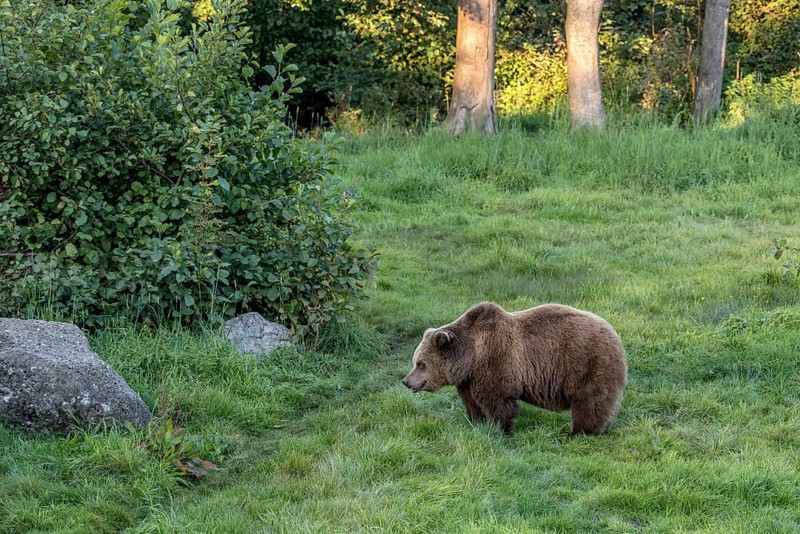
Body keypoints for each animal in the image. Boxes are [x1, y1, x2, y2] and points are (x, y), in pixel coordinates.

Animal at [401, 302, 627, 435]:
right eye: (415, 361)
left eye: (421, 364)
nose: (406, 381)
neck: (471, 359)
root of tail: (614, 333)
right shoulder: (468, 380)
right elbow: (472, 403)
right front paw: (476, 422)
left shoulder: (496, 364)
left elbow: (498, 403)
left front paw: (498, 429)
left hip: (587, 363)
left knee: (590, 402)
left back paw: (580, 432)